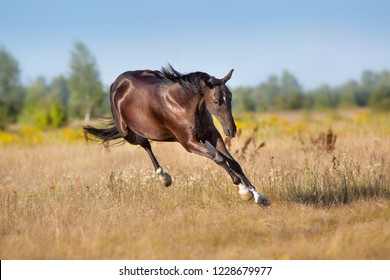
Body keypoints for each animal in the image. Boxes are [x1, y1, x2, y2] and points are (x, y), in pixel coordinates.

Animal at [84, 65, 270, 206]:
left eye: (230, 97)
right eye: (217, 101)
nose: (231, 130)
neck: (183, 104)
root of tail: (117, 82)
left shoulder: (212, 135)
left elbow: (233, 162)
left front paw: (258, 197)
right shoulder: (189, 143)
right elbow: (219, 158)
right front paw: (244, 191)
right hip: (127, 132)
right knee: (145, 143)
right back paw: (164, 177)